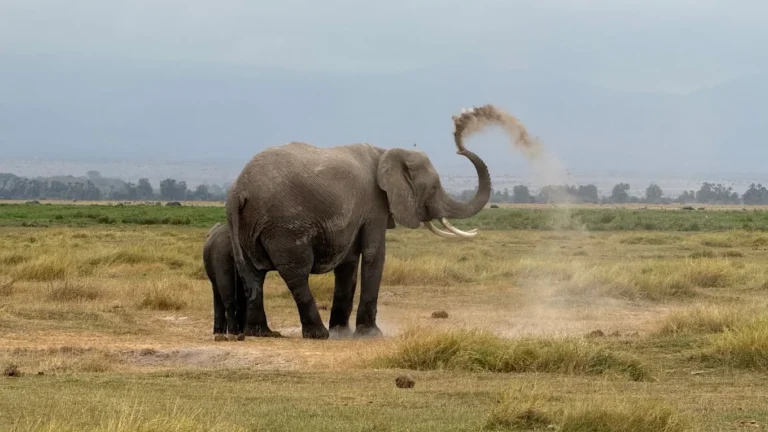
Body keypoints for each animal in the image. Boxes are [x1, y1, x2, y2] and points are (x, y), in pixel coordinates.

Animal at [226, 141, 490, 339]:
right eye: (434, 187)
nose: (460, 150)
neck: (386, 152)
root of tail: (238, 190)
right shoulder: (375, 205)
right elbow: (375, 254)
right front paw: (372, 334)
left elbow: (349, 262)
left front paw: (343, 333)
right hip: (284, 227)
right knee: (296, 274)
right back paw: (319, 334)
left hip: (246, 226)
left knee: (253, 276)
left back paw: (262, 333)